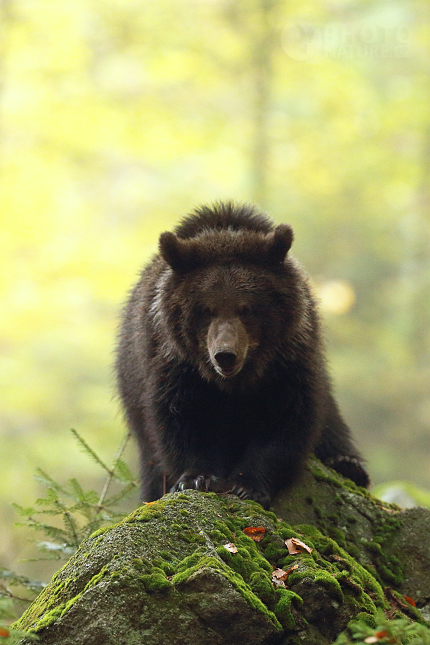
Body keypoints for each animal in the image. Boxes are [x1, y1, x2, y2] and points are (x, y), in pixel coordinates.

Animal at [115, 201, 370, 508]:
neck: (236, 382)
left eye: (246, 308)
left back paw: (347, 464)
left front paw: (248, 484)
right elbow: (180, 417)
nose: (225, 355)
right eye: (206, 309)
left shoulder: (287, 360)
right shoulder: (176, 363)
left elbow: (286, 418)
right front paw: (197, 477)